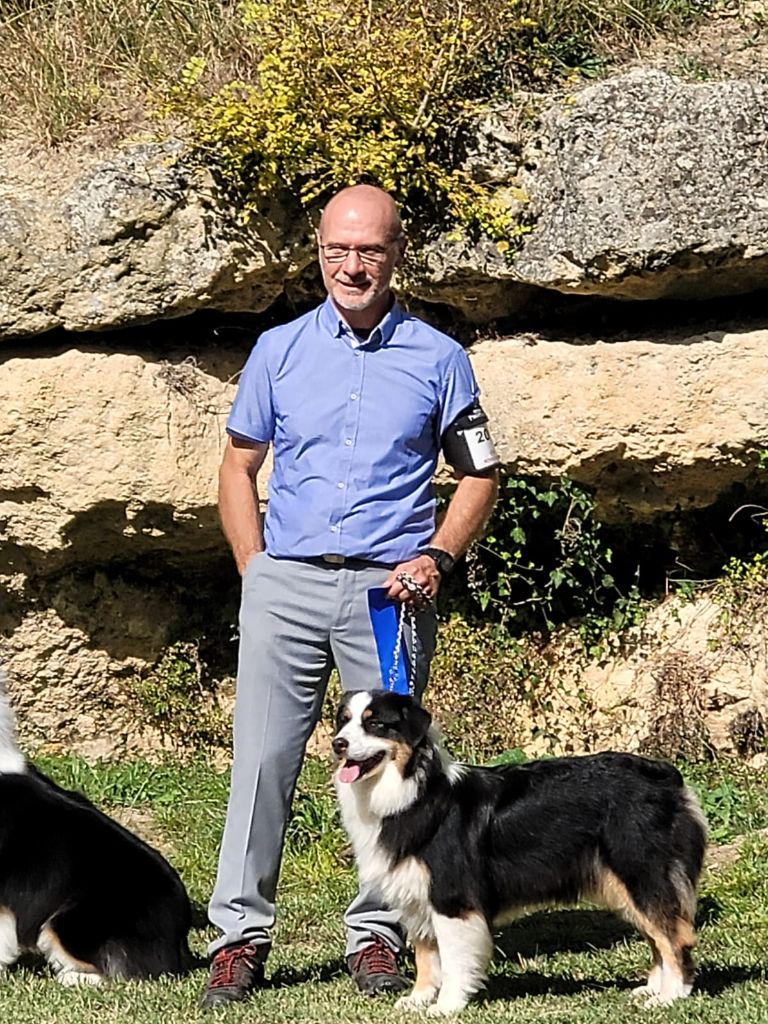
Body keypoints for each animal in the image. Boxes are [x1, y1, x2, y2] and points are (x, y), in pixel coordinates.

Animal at [333, 690, 707, 1016]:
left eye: (375, 723)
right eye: (344, 721)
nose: (338, 743)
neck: (413, 792)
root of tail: (668, 777)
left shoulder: (451, 897)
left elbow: (453, 959)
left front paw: (446, 1006)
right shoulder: (416, 895)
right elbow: (426, 955)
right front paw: (418, 999)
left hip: (642, 873)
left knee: (674, 936)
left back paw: (671, 996)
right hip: (625, 884)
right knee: (658, 936)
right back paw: (653, 988)